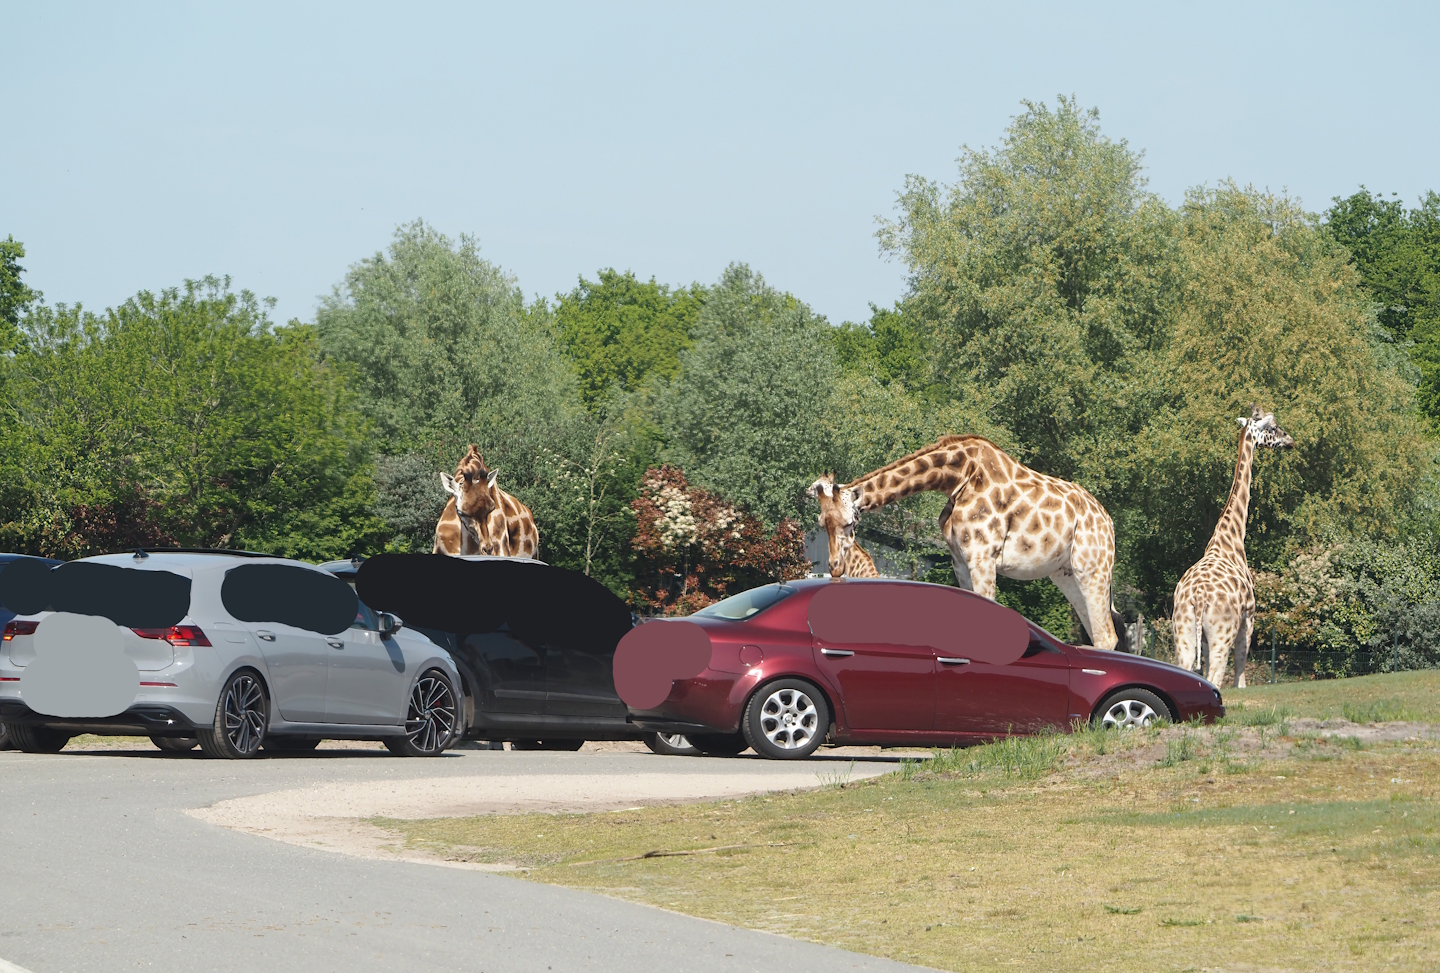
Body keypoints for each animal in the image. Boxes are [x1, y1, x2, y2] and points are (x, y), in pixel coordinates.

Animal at [817, 436, 1125, 651]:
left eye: (849, 523)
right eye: (821, 523)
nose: (834, 567)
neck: (956, 478)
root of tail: (1108, 522)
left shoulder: (982, 556)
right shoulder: (960, 561)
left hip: (1093, 568)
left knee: (1107, 635)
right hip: (1066, 573)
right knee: (1098, 632)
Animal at [1172, 407, 1294, 688]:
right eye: (1273, 428)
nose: (1290, 440)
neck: (1230, 537)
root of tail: (1198, 598)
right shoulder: (1249, 616)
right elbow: (1240, 672)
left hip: (1184, 633)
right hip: (1222, 634)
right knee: (1217, 675)